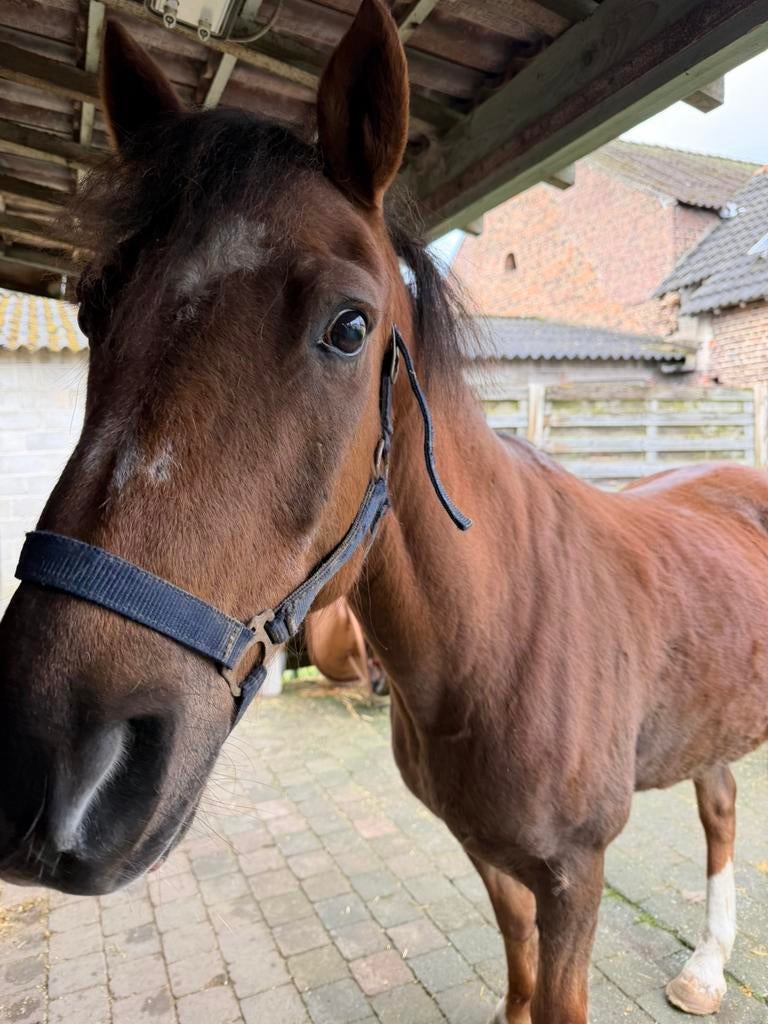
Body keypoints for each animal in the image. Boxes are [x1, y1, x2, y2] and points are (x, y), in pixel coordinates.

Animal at [0, 3, 766, 1021]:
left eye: (350, 327)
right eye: (93, 309)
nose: (53, 769)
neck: (499, 629)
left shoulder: (576, 876)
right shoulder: (490, 853)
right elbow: (517, 962)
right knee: (719, 799)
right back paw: (707, 965)